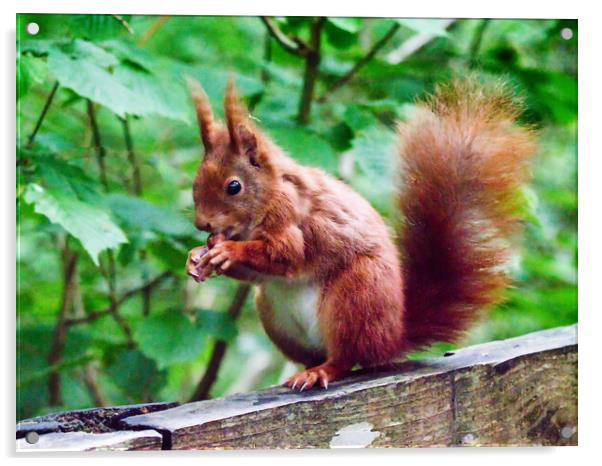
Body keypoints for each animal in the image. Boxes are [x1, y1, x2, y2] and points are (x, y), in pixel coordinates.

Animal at [183, 76, 536, 390]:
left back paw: (320, 372)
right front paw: (197, 257)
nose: (203, 224)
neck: (269, 193)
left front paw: (226, 251)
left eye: (234, 186)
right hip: (274, 313)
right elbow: (256, 273)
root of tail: (391, 337)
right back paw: (303, 371)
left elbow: (286, 254)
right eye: (196, 181)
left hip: (357, 295)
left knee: (345, 358)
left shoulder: (291, 218)